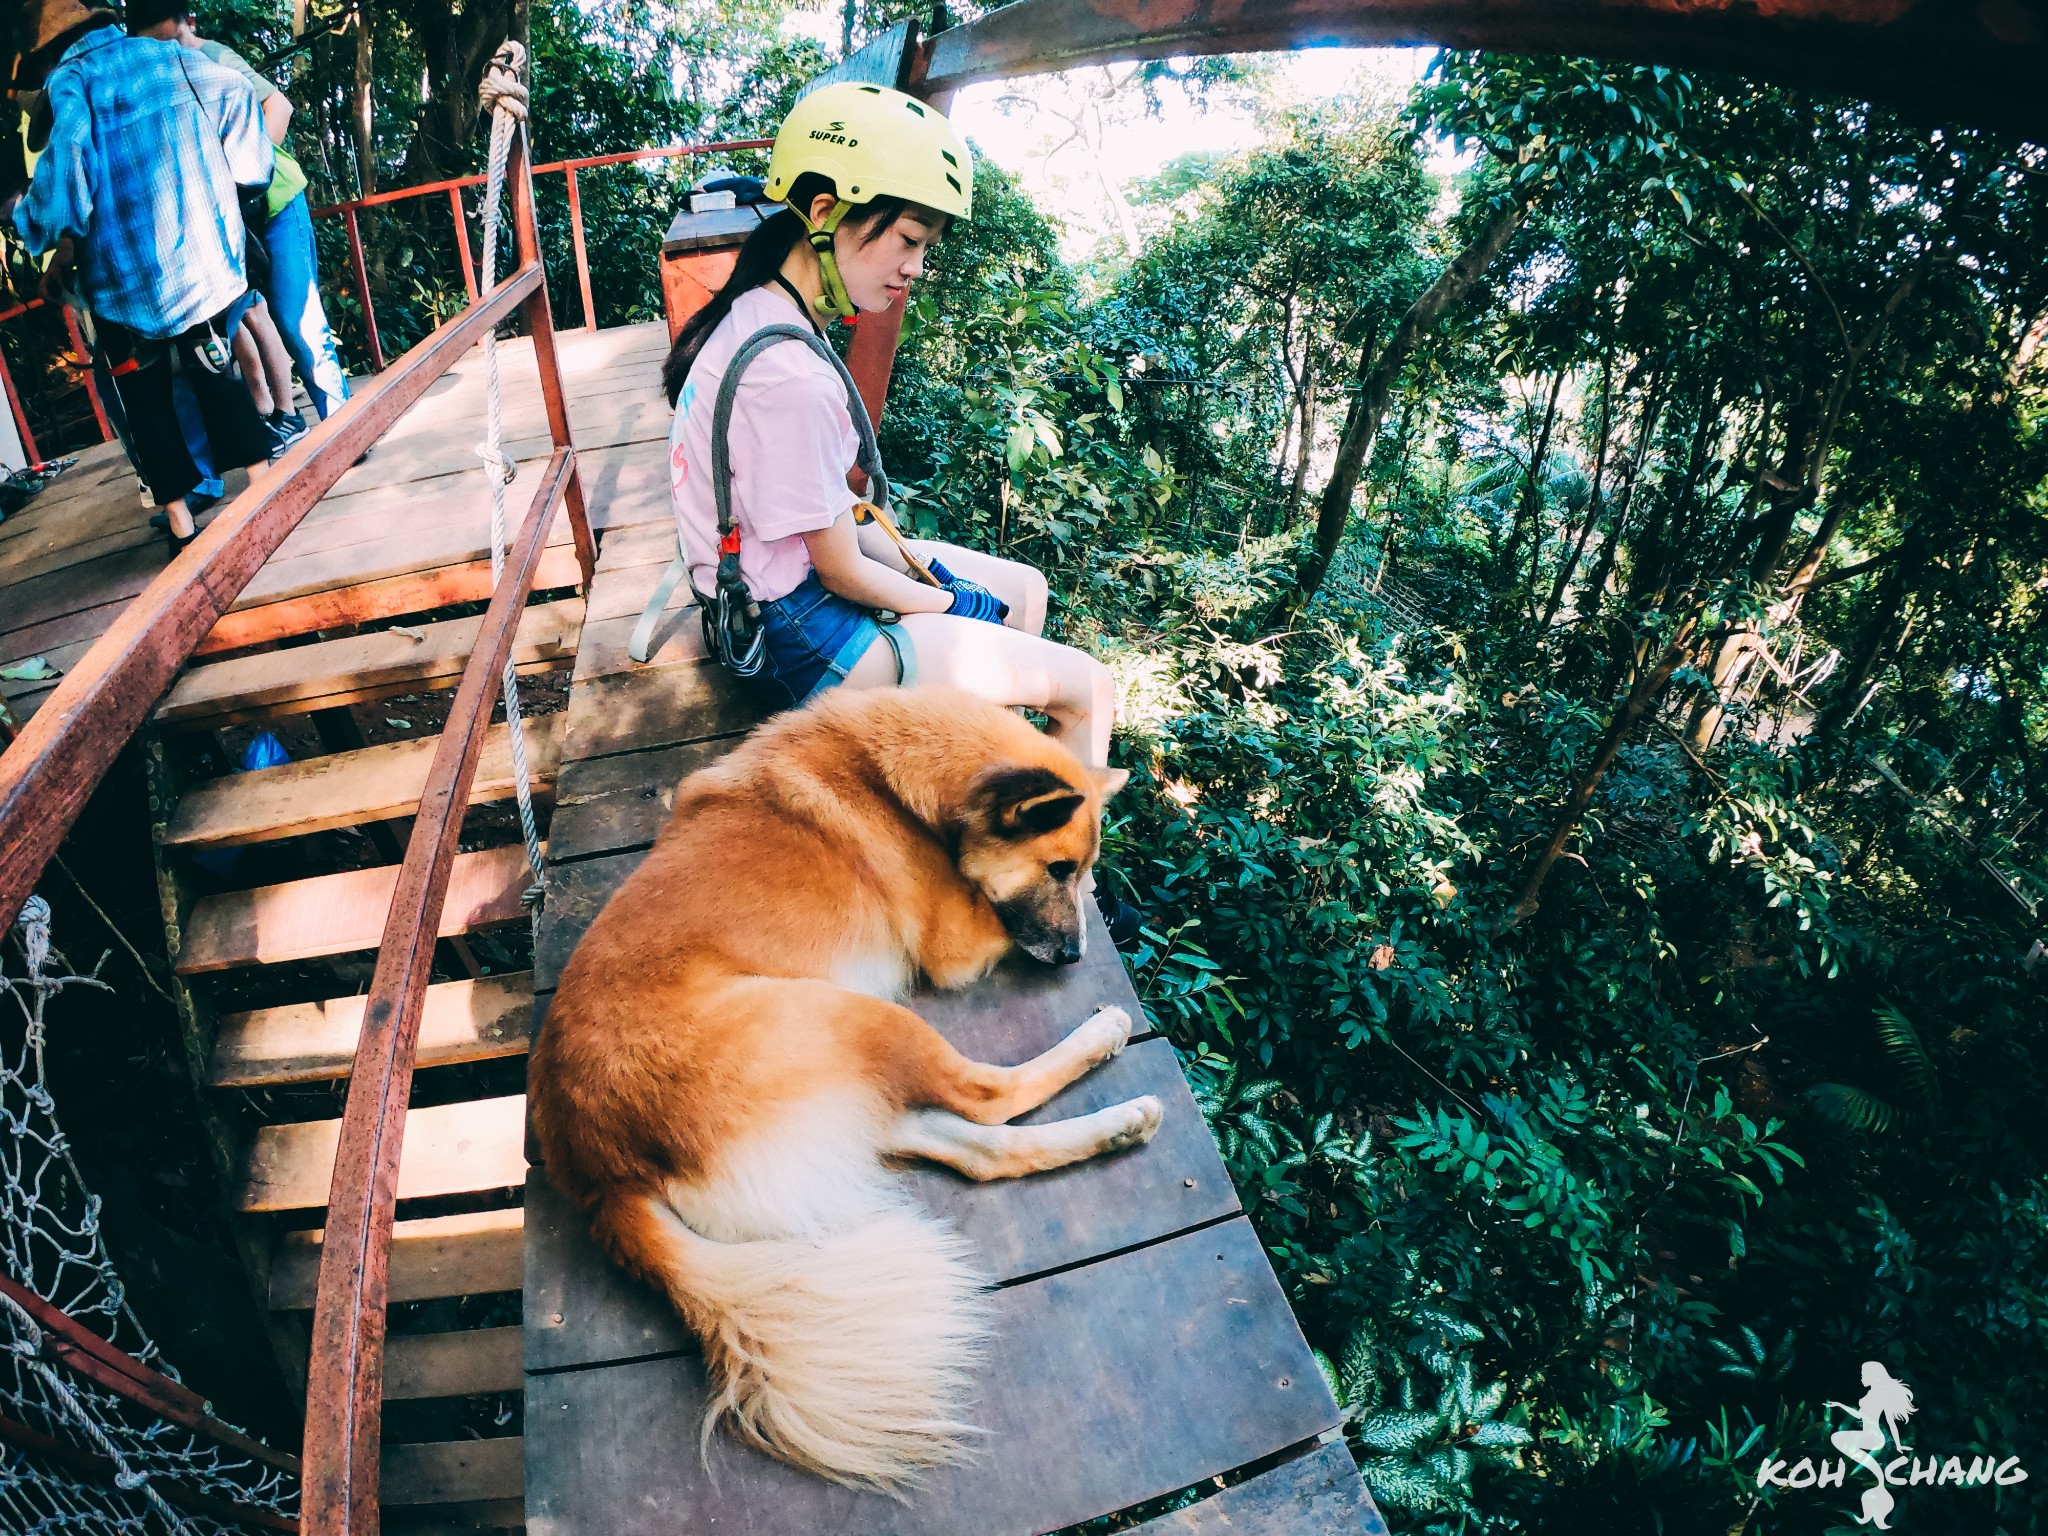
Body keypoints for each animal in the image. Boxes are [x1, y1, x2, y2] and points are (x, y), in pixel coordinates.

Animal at [528, 688, 1163, 1490]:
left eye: (1079, 870)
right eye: (1058, 868)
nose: (1077, 956)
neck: (896, 780)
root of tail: (603, 1178)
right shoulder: (956, 942)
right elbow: (988, 925)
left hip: (850, 1071)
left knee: (982, 1151)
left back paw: (1122, 1125)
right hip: (849, 1013)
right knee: (987, 1096)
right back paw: (1103, 1039)